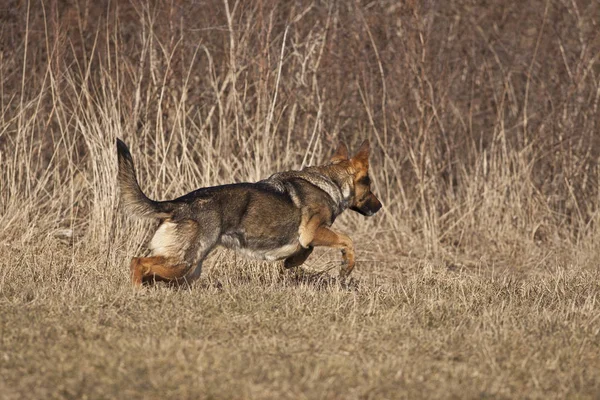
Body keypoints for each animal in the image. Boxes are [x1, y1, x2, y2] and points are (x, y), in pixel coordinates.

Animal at [115, 139, 382, 286]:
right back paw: (137, 292)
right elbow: (347, 240)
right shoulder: (313, 231)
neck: (331, 182)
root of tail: (179, 204)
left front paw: (292, 261)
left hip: (188, 268)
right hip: (183, 262)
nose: (380, 207)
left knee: (151, 270)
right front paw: (347, 266)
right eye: (369, 184)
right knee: (137, 262)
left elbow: (305, 251)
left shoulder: (309, 236)